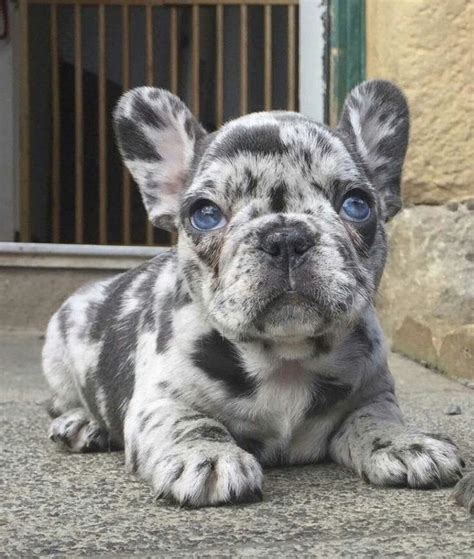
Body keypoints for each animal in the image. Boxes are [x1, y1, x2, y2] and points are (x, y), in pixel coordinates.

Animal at [40, 80, 462, 508]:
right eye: (205, 214)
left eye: (357, 205)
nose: (286, 237)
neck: (287, 359)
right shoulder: (159, 400)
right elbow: (188, 421)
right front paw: (207, 456)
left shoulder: (374, 393)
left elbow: (375, 418)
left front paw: (405, 442)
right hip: (58, 349)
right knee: (60, 402)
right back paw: (82, 423)